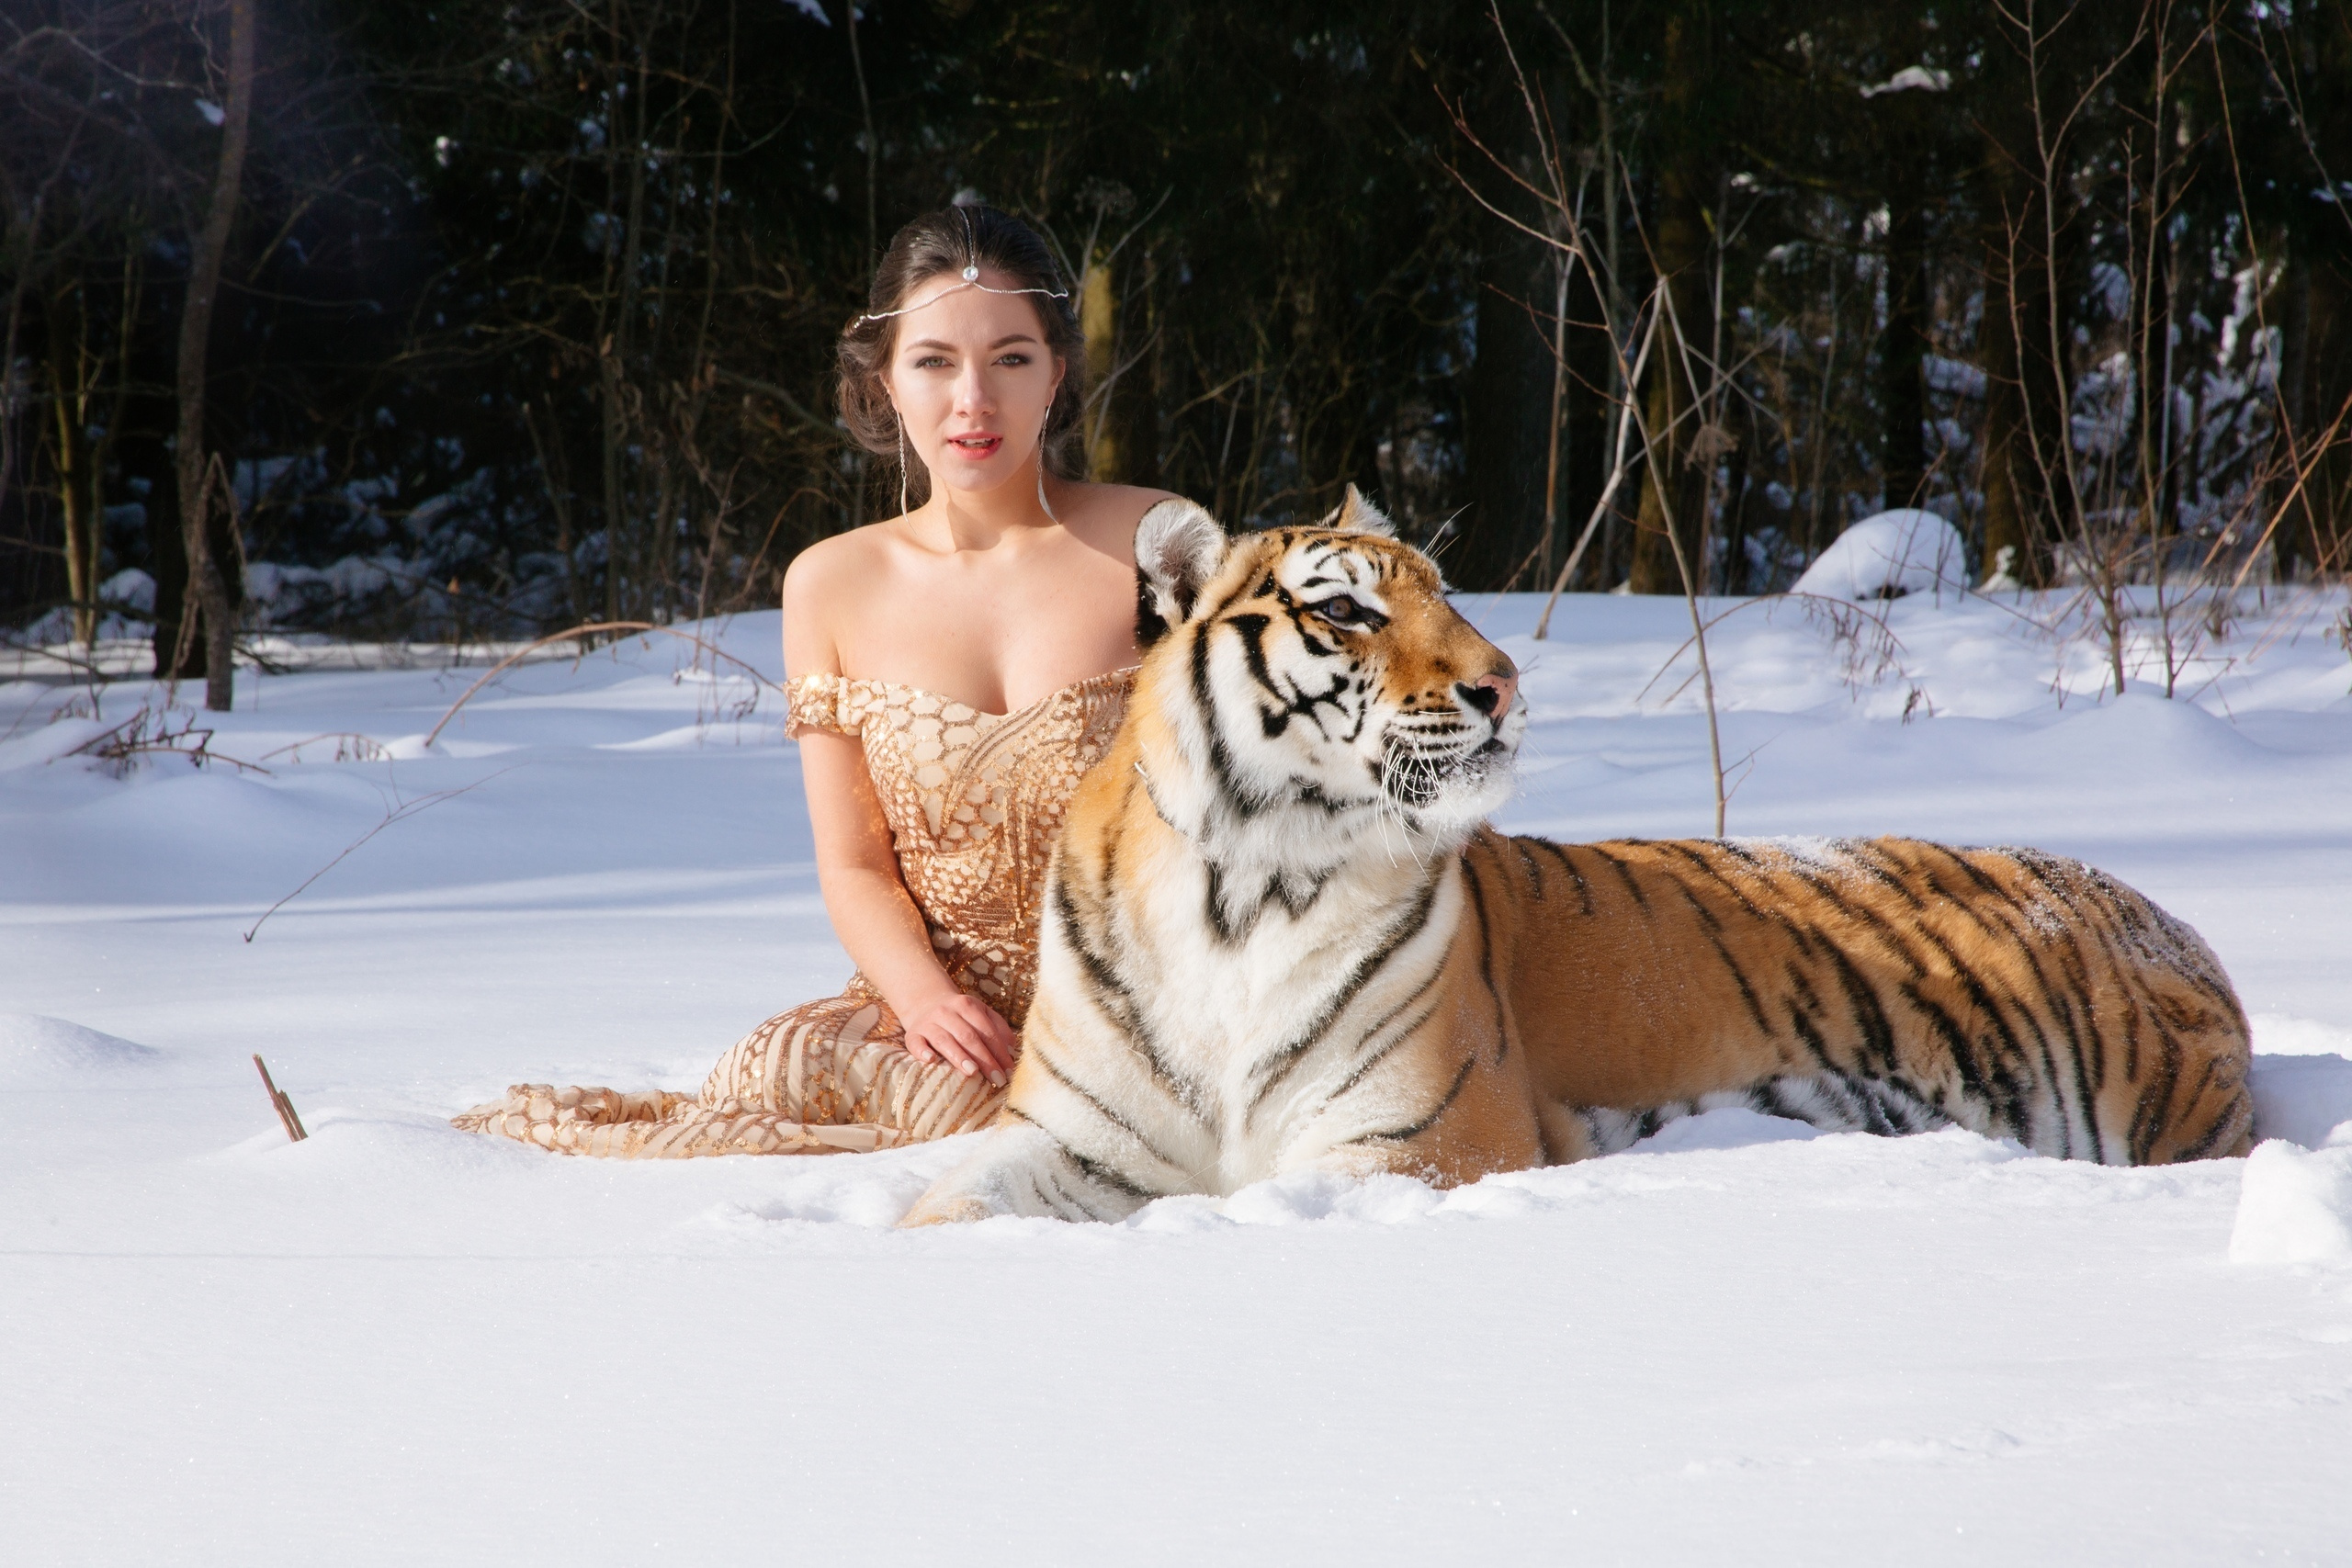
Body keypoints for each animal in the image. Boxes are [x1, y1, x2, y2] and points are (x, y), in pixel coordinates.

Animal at [900, 490, 2255, 1225]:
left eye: (1445, 590)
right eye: (1343, 609)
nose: (1505, 684)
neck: (1243, 885)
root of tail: (2171, 918)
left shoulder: (1423, 1142)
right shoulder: (1072, 1138)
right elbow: (948, 1200)